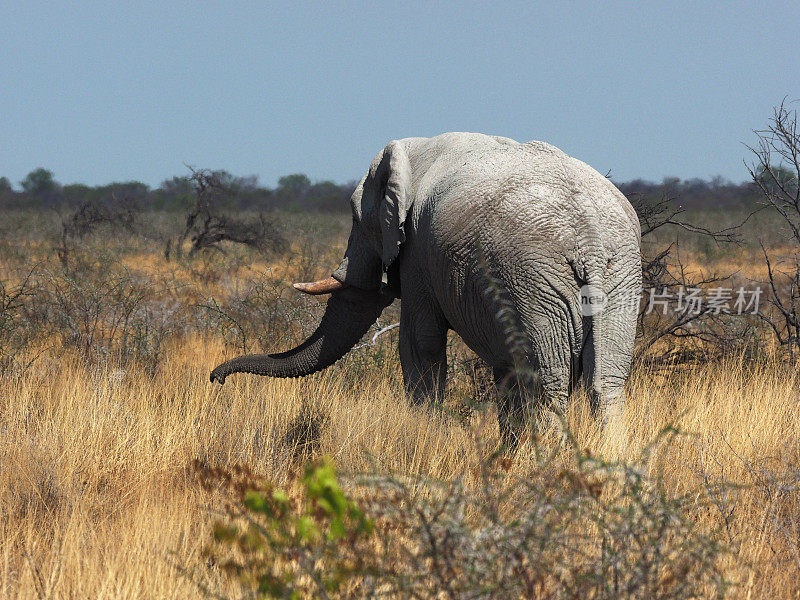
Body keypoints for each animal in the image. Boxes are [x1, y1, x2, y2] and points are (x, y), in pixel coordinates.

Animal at [209, 134, 640, 442]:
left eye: (356, 220)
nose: (216, 380)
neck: (414, 152)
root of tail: (589, 238)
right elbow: (503, 370)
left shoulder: (418, 252)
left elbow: (420, 343)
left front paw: (424, 438)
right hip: (615, 279)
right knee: (604, 383)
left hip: (533, 280)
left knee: (547, 383)